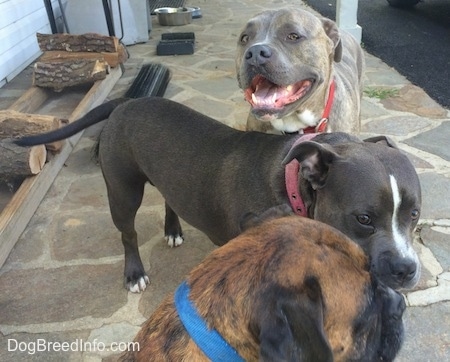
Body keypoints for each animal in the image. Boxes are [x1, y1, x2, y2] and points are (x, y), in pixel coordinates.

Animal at [14, 97, 422, 292]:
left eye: (414, 215)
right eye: (363, 219)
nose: (406, 269)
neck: (292, 188)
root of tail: (124, 102)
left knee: (170, 197)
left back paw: (173, 230)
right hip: (122, 190)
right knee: (127, 233)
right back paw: (134, 274)